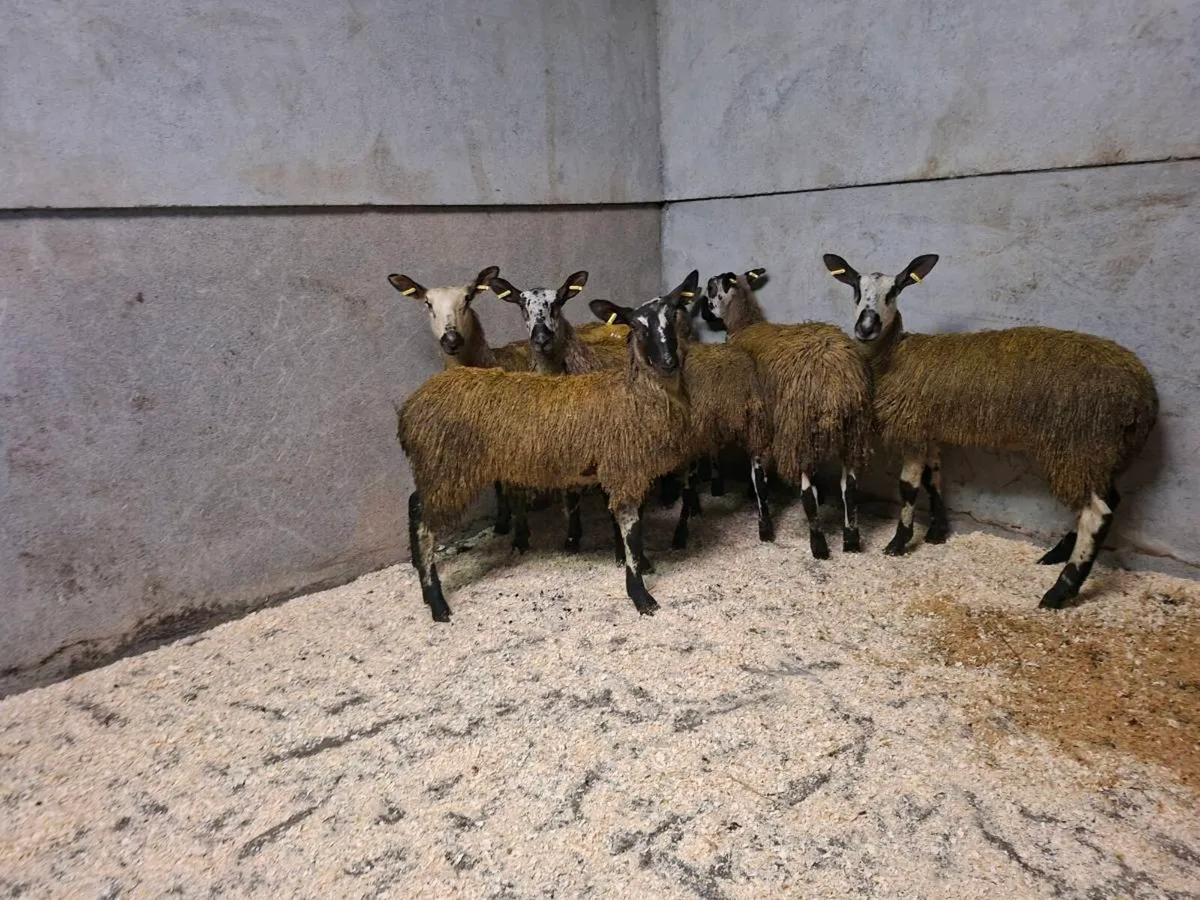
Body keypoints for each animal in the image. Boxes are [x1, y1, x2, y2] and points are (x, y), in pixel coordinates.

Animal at [387, 265, 530, 547]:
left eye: (468, 298)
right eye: (428, 303)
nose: (451, 339)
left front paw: (519, 534)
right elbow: (499, 484)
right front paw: (502, 524)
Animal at [700, 270, 875, 558]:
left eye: (711, 288)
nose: (702, 313)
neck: (745, 325)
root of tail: (836, 379)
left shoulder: (758, 422)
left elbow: (759, 479)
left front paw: (765, 527)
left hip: (798, 429)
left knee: (808, 495)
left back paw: (818, 545)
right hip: (853, 432)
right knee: (850, 489)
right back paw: (850, 539)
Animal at [822, 252, 1158, 609]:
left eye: (895, 290)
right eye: (856, 289)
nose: (865, 327)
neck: (893, 355)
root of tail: (1144, 395)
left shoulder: (911, 428)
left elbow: (909, 487)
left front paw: (899, 543)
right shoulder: (929, 428)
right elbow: (934, 477)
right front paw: (937, 533)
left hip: (1079, 445)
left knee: (1098, 513)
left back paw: (1059, 590)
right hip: (1106, 452)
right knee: (1109, 500)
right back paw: (1055, 555)